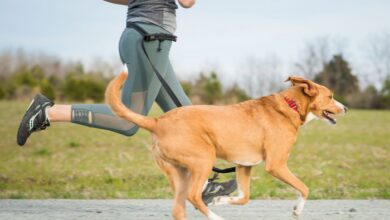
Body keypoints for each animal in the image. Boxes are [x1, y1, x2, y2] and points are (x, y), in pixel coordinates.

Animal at [104, 72, 348, 220]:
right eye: (330, 96)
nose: (345, 108)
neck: (290, 106)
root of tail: (157, 121)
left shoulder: (244, 166)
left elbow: (244, 197)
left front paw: (222, 199)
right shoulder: (276, 165)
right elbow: (304, 188)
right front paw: (297, 210)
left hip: (180, 173)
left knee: (179, 209)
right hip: (203, 161)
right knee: (194, 197)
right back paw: (215, 218)